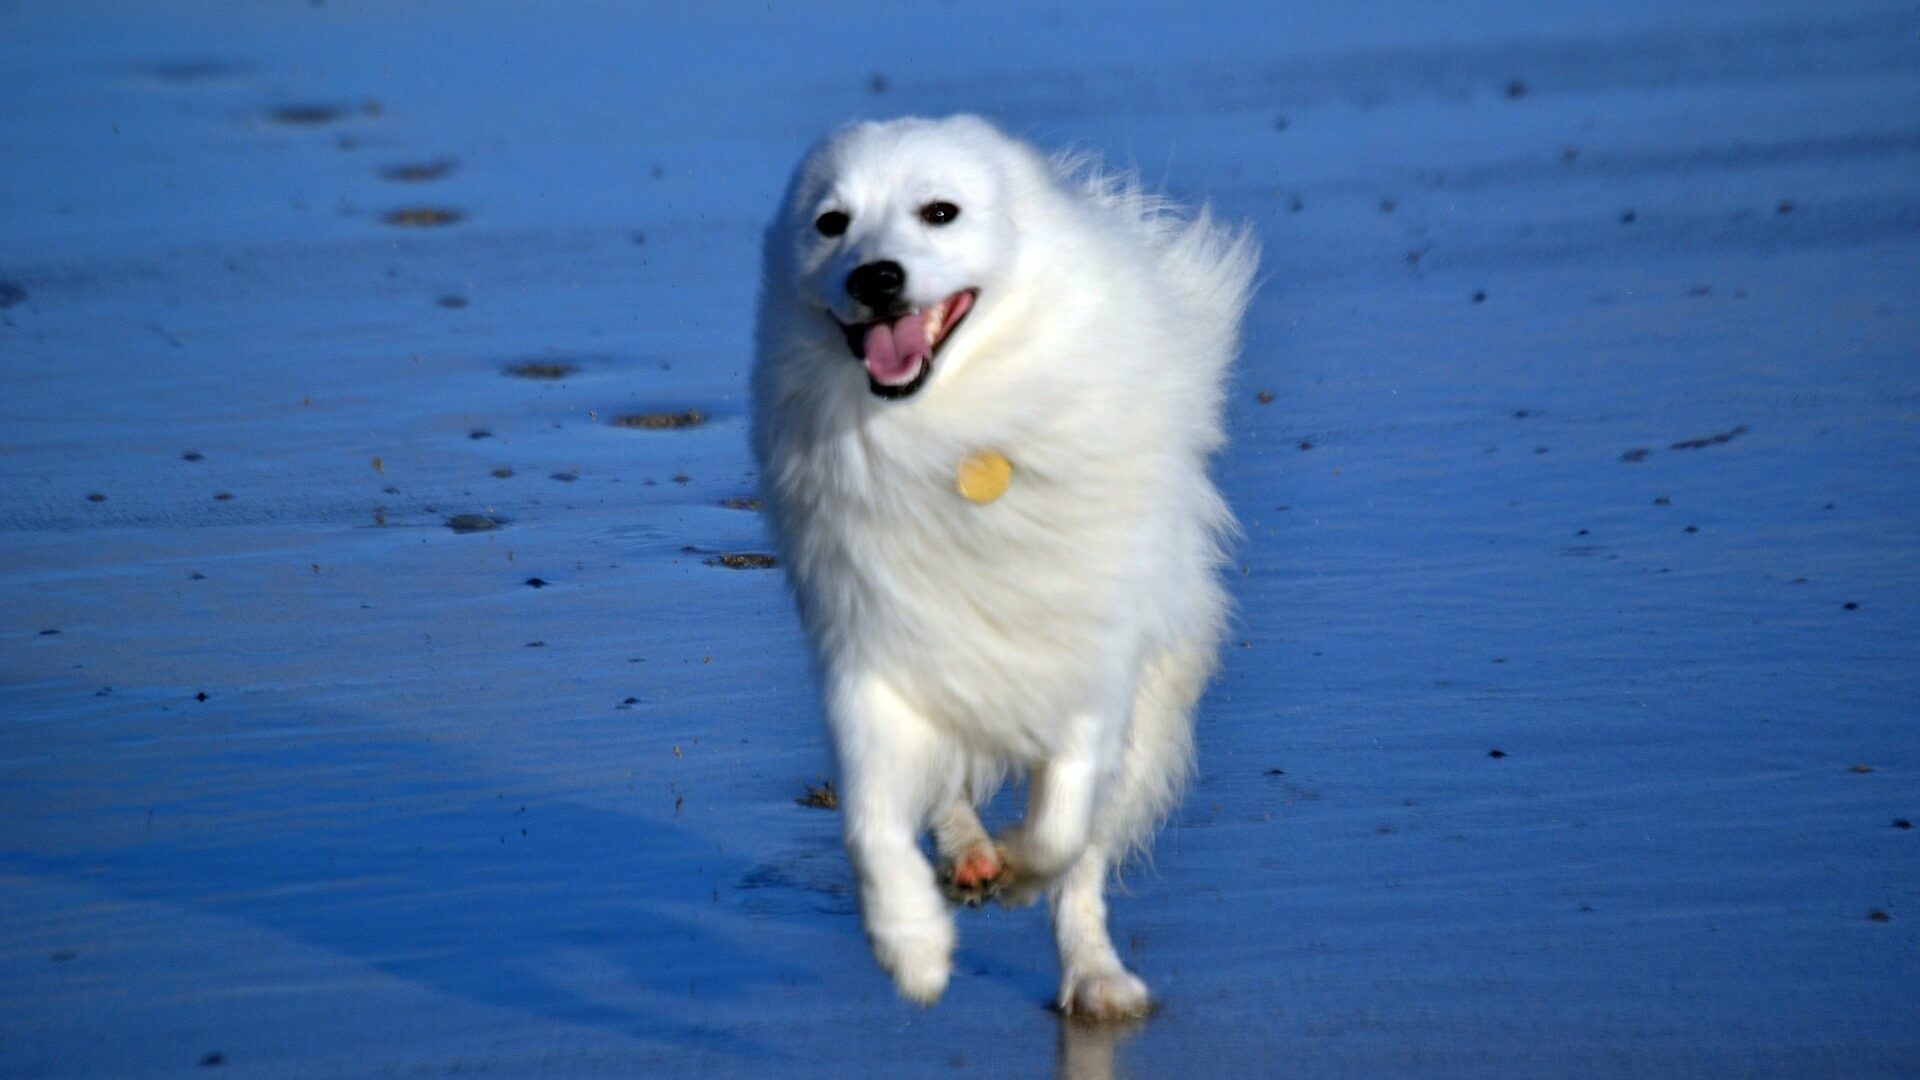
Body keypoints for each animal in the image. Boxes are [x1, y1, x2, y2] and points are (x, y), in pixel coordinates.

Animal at [748, 117, 1259, 1014]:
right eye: (831, 224)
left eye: (940, 212)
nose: (877, 276)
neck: (957, 432)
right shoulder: (873, 654)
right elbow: (870, 821)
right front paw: (913, 946)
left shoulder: (1092, 667)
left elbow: (1061, 833)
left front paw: (1021, 874)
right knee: (948, 793)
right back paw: (967, 857)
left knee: (1086, 863)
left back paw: (1095, 976)